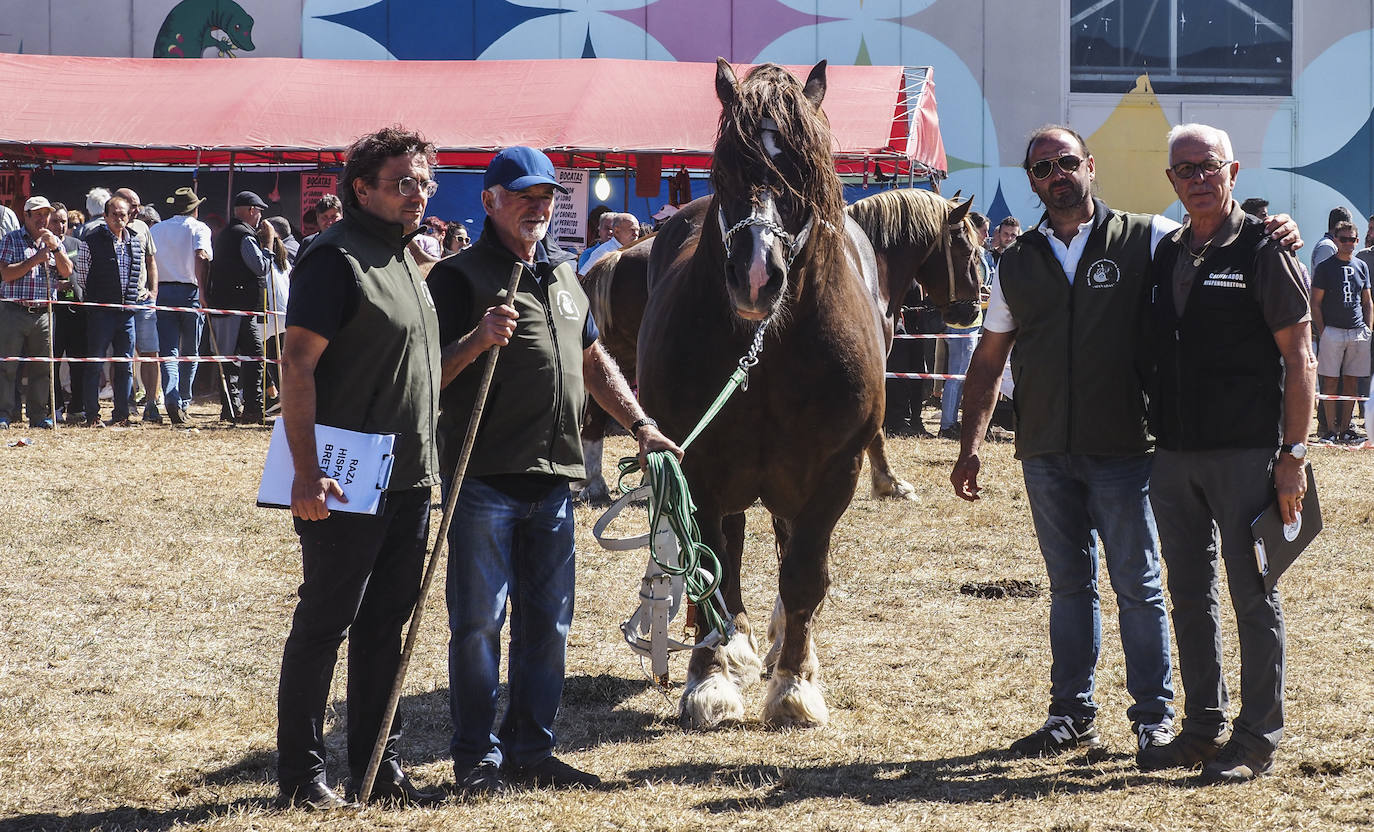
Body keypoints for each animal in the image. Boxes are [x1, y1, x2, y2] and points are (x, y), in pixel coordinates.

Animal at [637, 61, 983, 730]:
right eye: (725, 166)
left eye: (803, 168)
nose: (755, 276)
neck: (766, 348)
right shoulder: (698, 465)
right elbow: (712, 568)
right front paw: (711, 677)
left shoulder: (831, 470)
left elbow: (803, 574)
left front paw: (795, 684)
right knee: (731, 549)